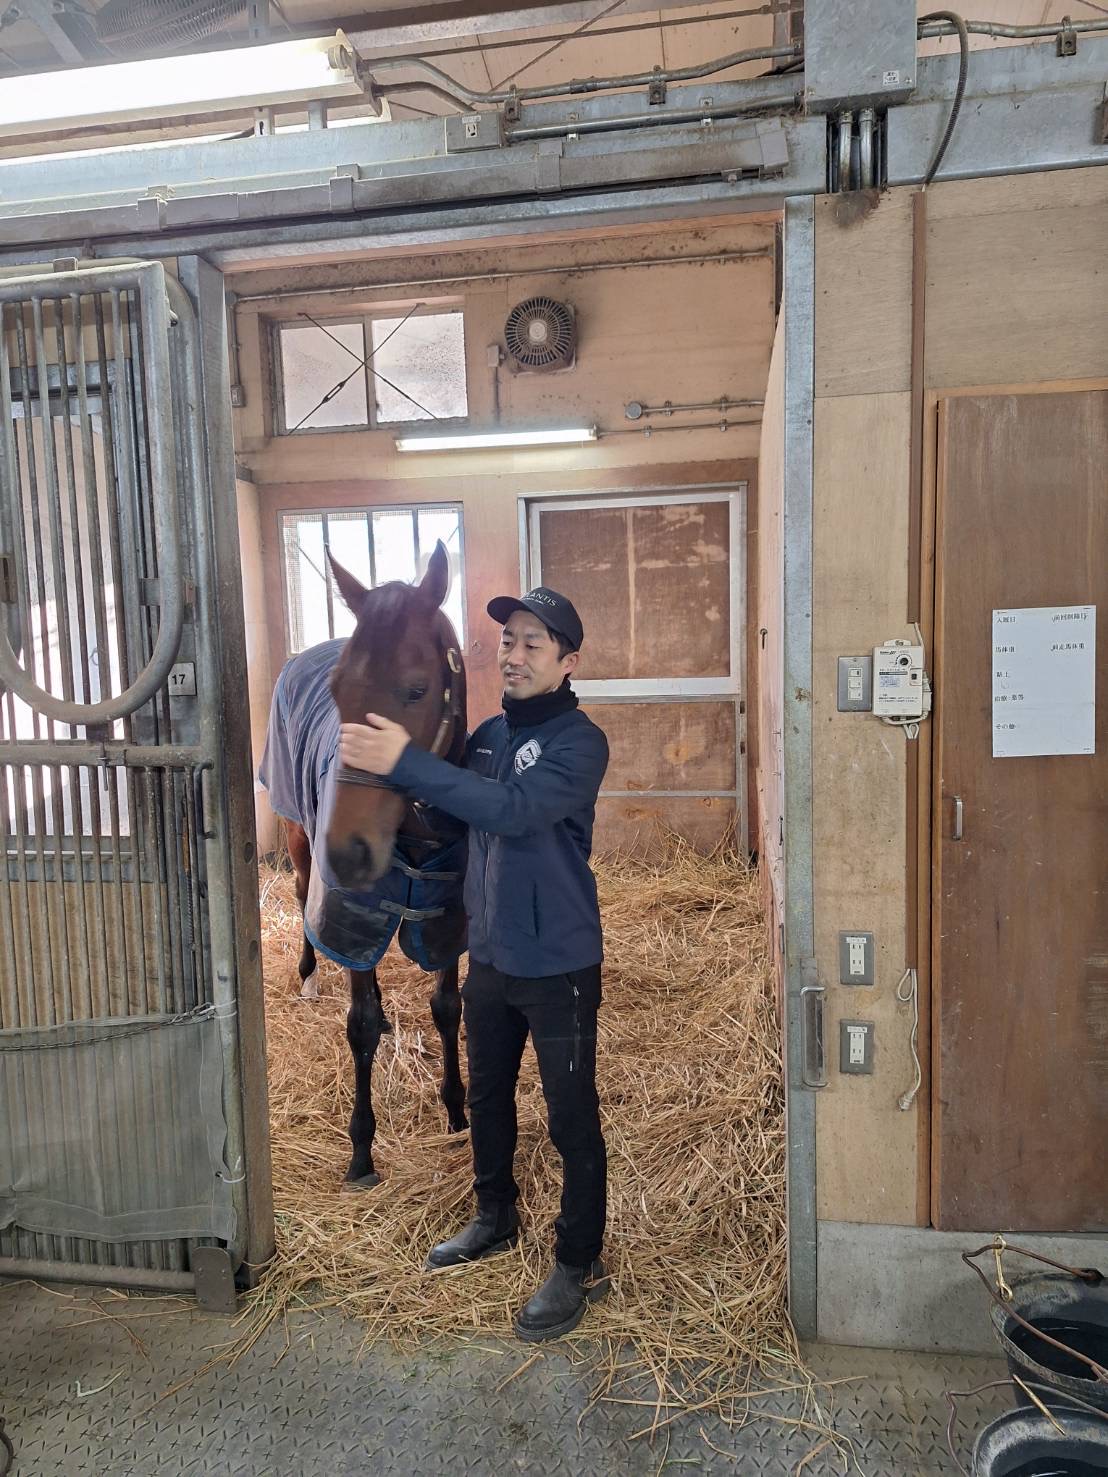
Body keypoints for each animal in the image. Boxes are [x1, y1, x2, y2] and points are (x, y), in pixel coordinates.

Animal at [259, 540, 469, 1190]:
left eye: (418, 689)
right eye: (337, 690)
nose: (348, 852)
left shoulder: (445, 916)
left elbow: (447, 1009)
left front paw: (457, 1113)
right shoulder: (352, 916)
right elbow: (360, 1024)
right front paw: (361, 1151)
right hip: (299, 837)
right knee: (302, 896)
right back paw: (307, 975)